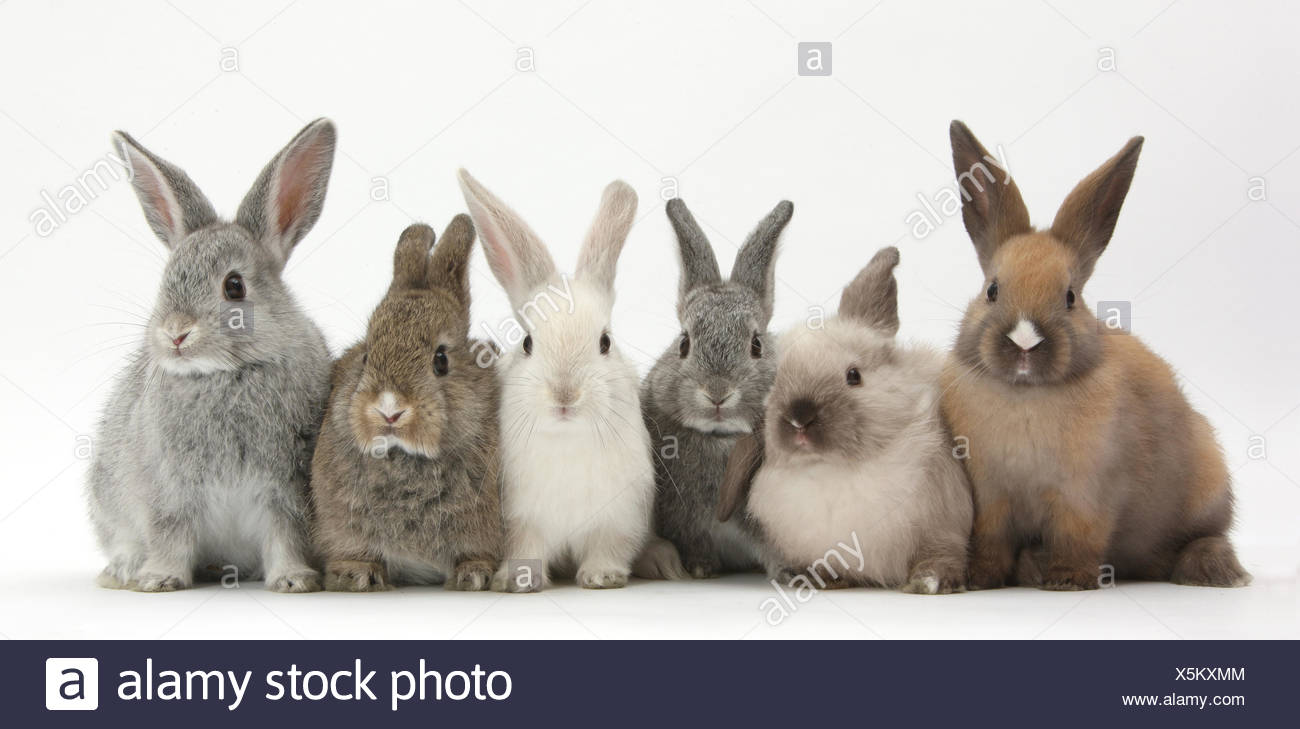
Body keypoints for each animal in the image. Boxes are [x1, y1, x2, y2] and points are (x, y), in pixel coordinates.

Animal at [86, 119, 337, 592]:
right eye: (165, 281)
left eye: (234, 286)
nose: (175, 333)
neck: (225, 374)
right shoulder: (169, 492)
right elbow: (170, 534)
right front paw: (160, 580)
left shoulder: (286, 492)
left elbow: (285, 536)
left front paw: (293, 581)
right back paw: (124, 570)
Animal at [458, 169, 654, 591]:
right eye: (528, 343)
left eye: (605, 342)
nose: (565, 394)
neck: (566, 439)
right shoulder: (520, 520)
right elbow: (525, 549)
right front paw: (518, 581)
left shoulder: (619, 517)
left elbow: (608, 548)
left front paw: (602, 577)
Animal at [635, 197, 792, 580]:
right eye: (684, 343)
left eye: (756, 344)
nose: (717, 393)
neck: (720, 438)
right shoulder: (685, 520)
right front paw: (700, 568)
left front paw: (788, 573)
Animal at [718, 247, 973, 593]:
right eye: (773, 385)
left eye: (854, 375)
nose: (800, 418)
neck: (833, 471)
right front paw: (821, 579)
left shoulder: (944, 527)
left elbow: (941, 554)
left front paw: (928, 582)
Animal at [942, 120, 1250, 590]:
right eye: (992, 290)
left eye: (1070, 297)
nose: (1025, 342)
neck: (1027, 395)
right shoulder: (990, 497)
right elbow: (991, 541)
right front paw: (979, 579)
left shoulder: (1088, 496)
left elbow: (1080, 539)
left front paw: (1069, 580)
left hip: (1206, 487)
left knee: (1202, 537)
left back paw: (1215, 570)